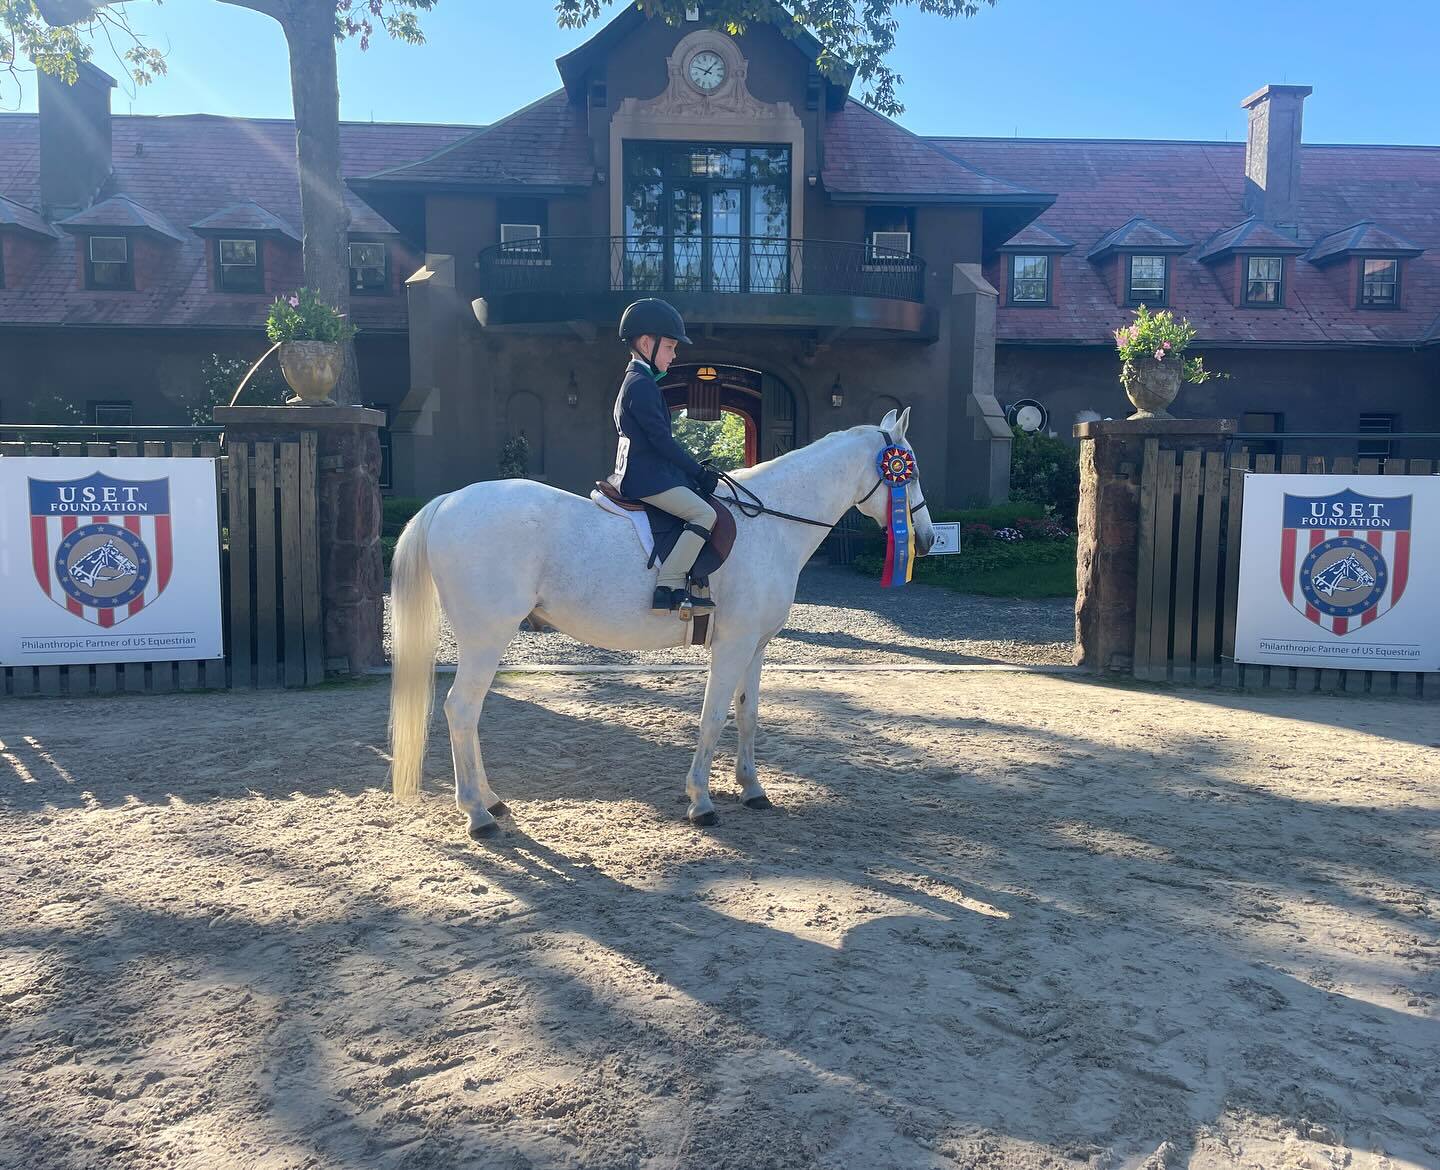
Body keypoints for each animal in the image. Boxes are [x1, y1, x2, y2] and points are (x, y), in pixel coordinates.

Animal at [388, 407, 936, 836]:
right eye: (905, 474)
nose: (928, 540)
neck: (770, 526)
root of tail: (449, 501)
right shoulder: (732, 644)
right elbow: (713, 717)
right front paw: (701, 802)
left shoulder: (756, 646)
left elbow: (748, 714)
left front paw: (753, 789)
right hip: (486, 637)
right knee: (462, 710)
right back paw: (478, 815)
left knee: (469, 713)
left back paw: (492, 801)